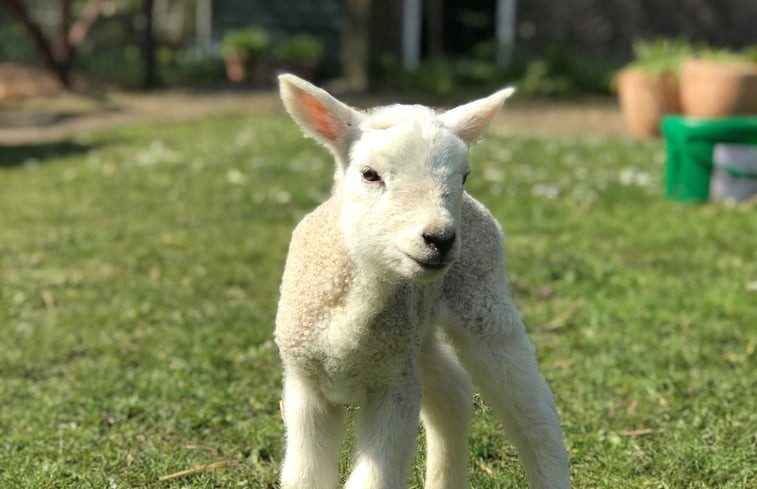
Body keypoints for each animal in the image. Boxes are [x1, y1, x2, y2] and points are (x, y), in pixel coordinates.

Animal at [272, 73, 568, 488]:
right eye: (369, 174)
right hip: (417, 334)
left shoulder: (395, 389)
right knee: (454, 391)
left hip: (484, 300)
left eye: (464, 175)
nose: (440, 239)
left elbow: (371, 480)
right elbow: (304, 476)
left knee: (531, 408)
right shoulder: (306, 384)